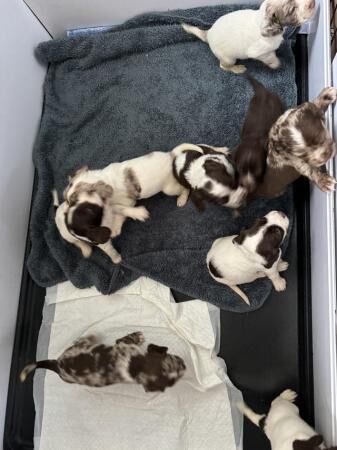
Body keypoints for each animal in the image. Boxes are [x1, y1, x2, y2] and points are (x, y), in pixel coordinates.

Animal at [19, 332, 185, 392]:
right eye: (173, 382)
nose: (185, 365)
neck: (136, 365)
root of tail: (56, 364)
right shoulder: (122, 344)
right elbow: (126, 339)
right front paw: (138, 336)